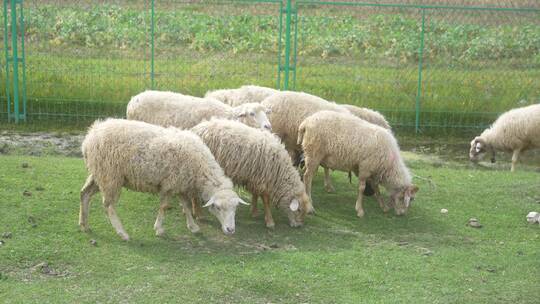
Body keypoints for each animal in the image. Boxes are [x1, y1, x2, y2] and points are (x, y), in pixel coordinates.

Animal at [79, 119, 248, 240]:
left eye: (236, 208)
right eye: (217, 207)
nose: (230, 230)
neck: (200, 166)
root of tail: (89, 136)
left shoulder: (181, 185)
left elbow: (186, 206)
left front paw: (193, 227)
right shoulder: (170, 184)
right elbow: (164, 207)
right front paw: (159, 229)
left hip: (99, 174)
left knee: (84, 194)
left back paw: (84, 224)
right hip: (110, 176)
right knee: (108, 205)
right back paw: (122, 233)